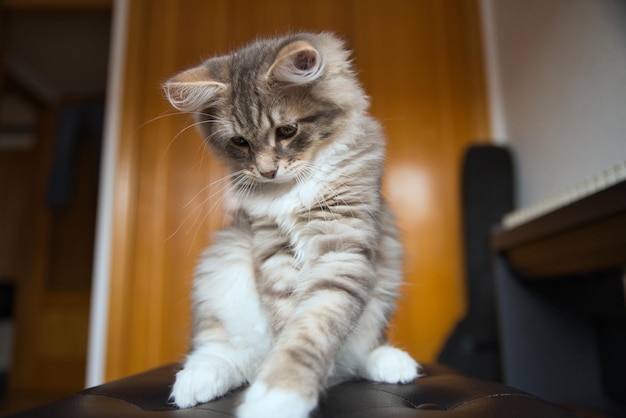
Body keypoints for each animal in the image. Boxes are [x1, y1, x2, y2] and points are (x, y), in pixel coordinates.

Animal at [162, 33, 420, 418]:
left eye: (287, 131)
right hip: (220, 272)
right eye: (240, 142)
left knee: (358, 354)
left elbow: (310, 328)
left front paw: (278, 395)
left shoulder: (342, 248)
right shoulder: (271, 248)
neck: (292, 190)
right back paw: (195, 382)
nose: (267, 171)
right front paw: (276, 394)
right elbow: (289, 324)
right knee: (225, 354)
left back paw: (390, 363)